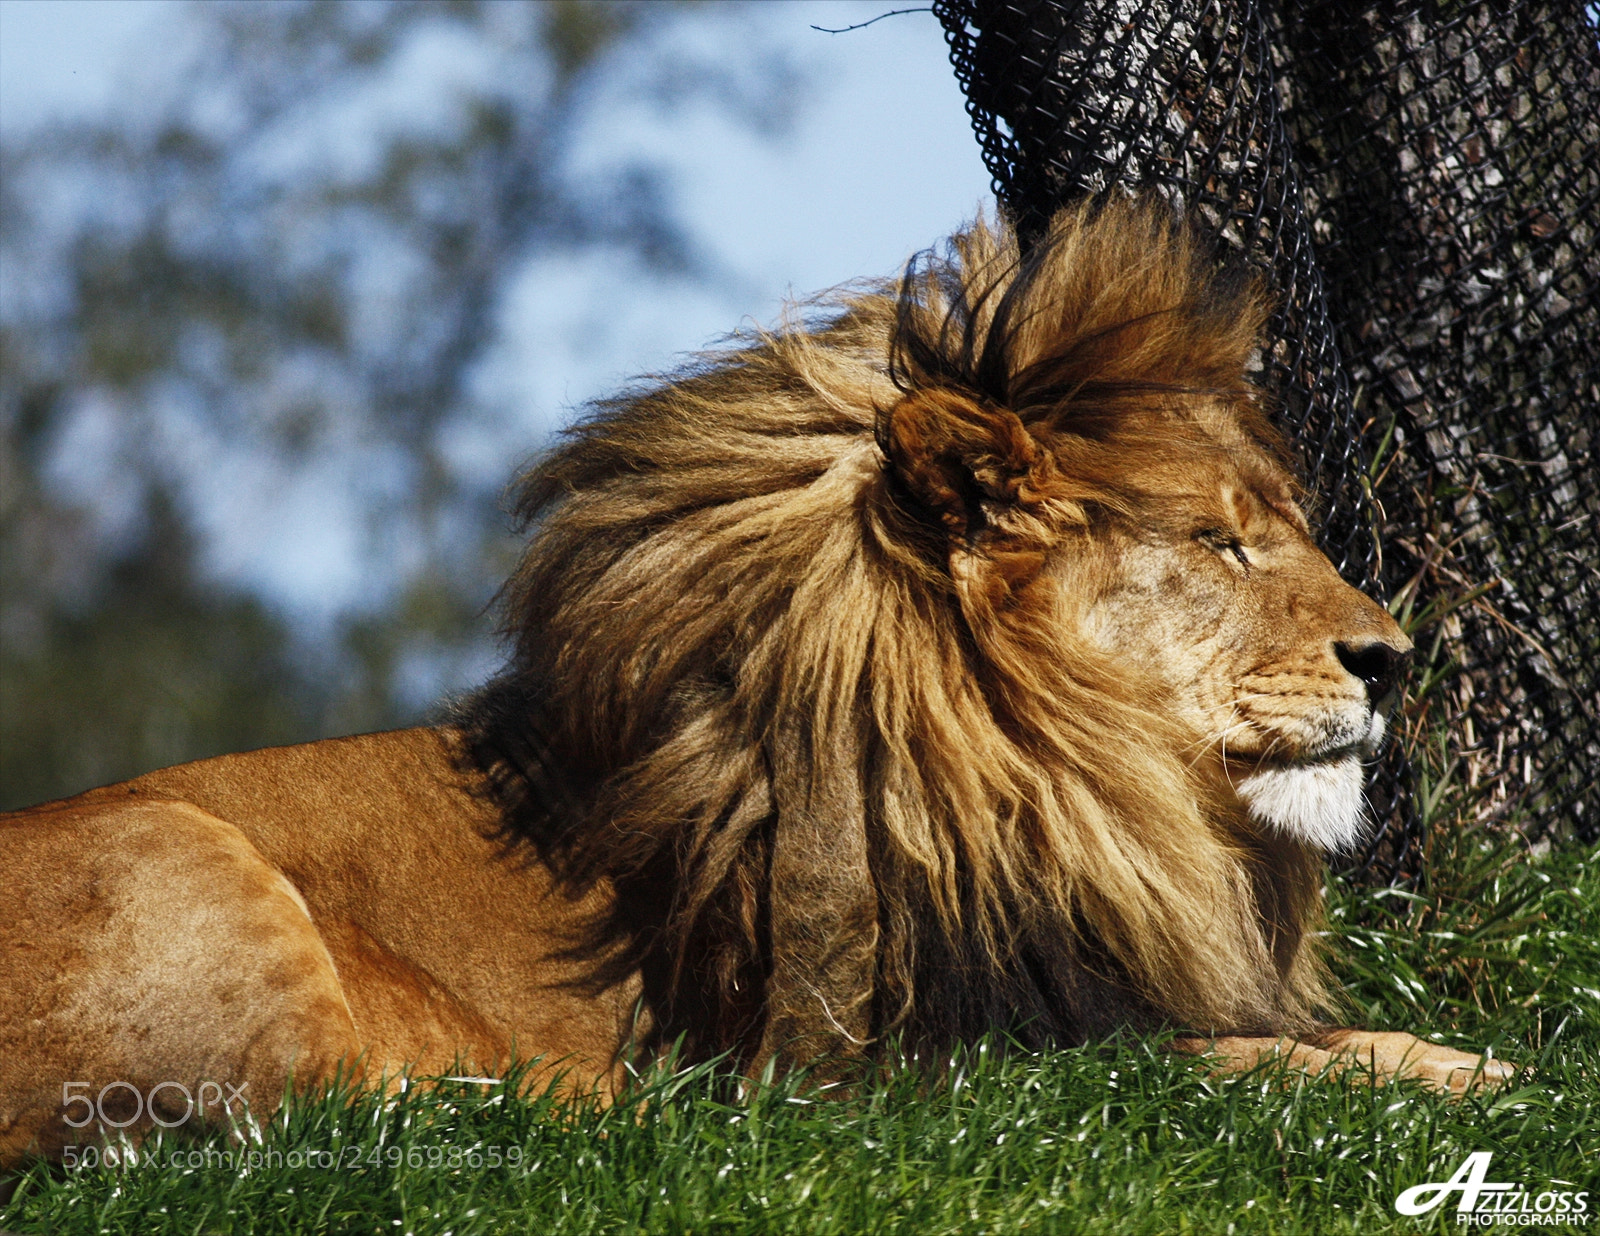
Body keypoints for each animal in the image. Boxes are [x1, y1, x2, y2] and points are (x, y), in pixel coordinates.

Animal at [0, 197, 1510, 1169]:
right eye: (1217, 542)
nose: (1393, 659)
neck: (1071, 784)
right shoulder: (900, 1066)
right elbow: (1216, 1060)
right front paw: (1469, 1083)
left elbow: (1293, 1038)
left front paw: (1449, 1062)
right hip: (189, 865)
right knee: (366, 1126)